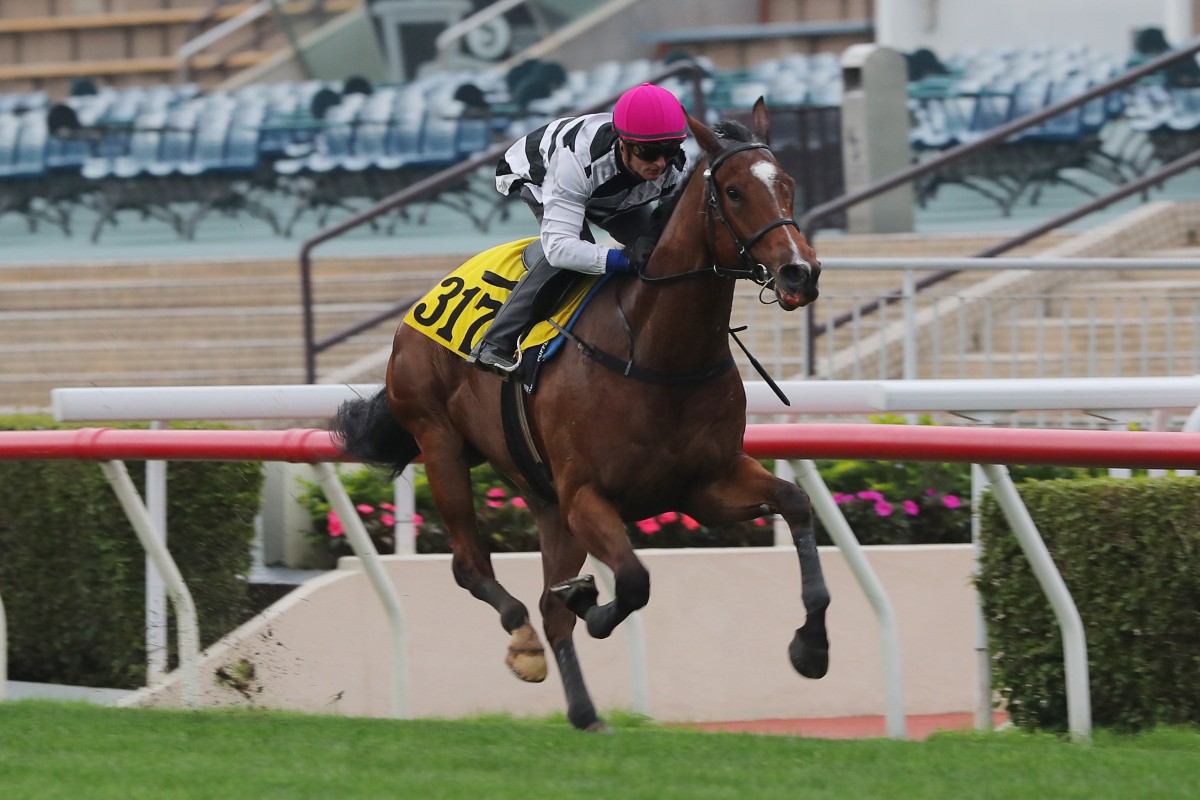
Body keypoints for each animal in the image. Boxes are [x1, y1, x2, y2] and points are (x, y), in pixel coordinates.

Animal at [333, 98, 830, 734]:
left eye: (787, 184)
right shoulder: (586, 495)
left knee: (547, 606)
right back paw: (525, 640)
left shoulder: (705, 484)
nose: (800, 273)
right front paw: (591, 605)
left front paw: (811, 647)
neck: (658, 354)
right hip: (440, 441)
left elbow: (796, 503)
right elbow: (635, 581)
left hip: (546, 502)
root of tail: (419, 306)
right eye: (736, 192)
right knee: (475, 568)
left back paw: (586, 711)